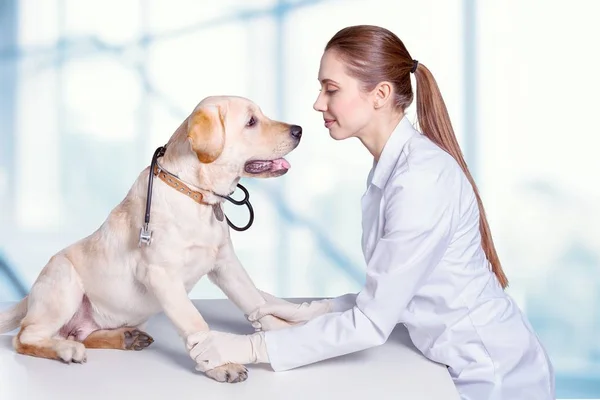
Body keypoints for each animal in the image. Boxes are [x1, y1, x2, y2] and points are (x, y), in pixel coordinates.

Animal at [0, 95, 300, 382]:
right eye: (251, 121)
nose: (299, 130)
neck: (194, 193)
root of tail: (30, 295)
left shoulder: (226, 265)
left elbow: (257, 303)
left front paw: (285, 332)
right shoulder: (161, 275)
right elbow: (195, 322)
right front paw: (221, 364)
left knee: (81, 334)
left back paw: (125, 337)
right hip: (63, 281)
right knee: (25, 337)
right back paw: (66, 349)